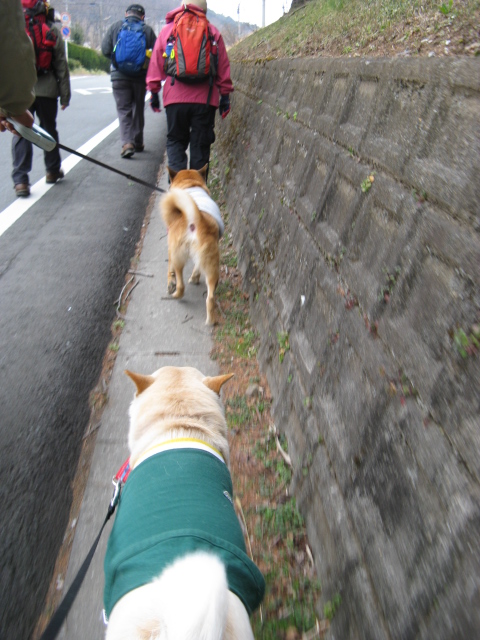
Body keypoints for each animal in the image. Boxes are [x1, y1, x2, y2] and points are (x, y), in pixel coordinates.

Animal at [160, 166, 224, 325]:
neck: (190, 184)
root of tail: (197, 219)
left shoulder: (171, 249)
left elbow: (169, 270)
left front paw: (170, 283)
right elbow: (196, 267)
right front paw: (195, 277)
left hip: (178, 257)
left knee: (180, 283)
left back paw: (175, 294)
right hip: (212, 263)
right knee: (210, 297)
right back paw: (211, 320)